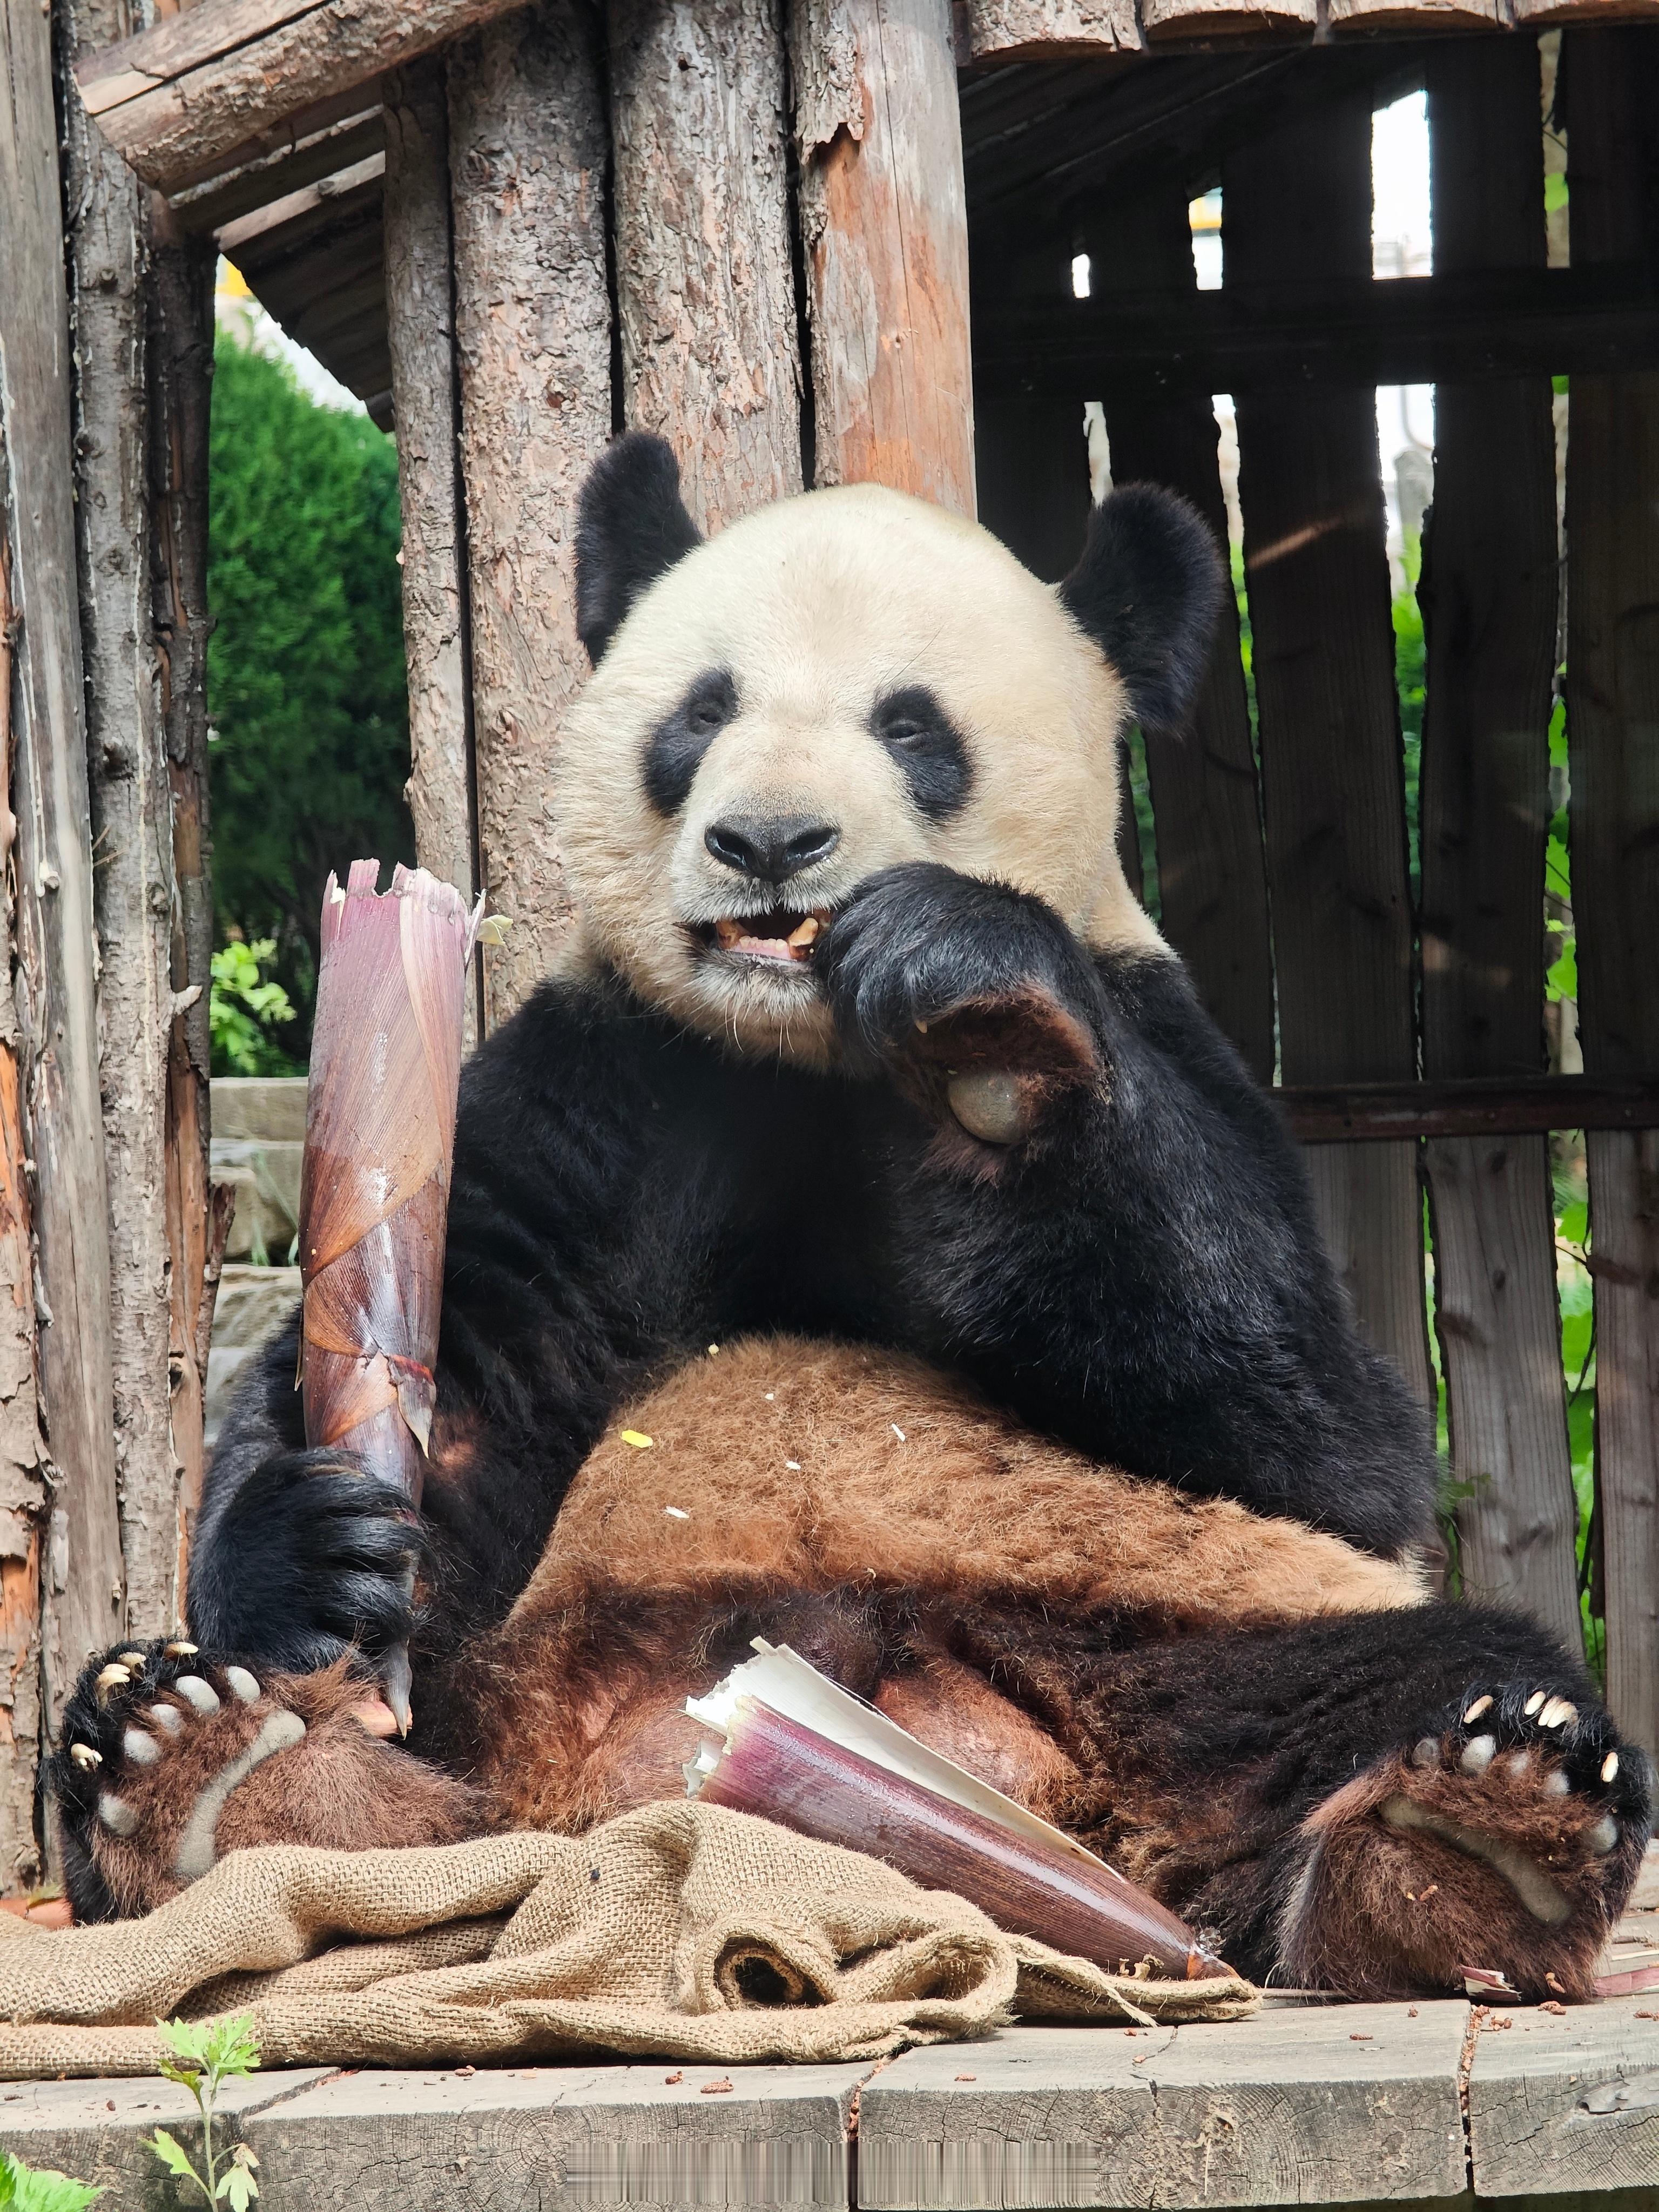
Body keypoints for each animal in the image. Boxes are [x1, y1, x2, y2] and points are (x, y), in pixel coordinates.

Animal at [52, 436, 1649, 2004]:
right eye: (701, 711)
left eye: (911, 727)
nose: (768, 842)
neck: (802, 1051)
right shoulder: (610, 1084)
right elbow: (467, 1386)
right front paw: (320, 1538)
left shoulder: (1164, 1037)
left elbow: (1320, 1434)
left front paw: (979, 1015)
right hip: (509, 1692)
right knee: (276, 1731)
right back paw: (225, 1775)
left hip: (1188, 1636)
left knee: (1434, 1672)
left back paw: (1464, 1846)